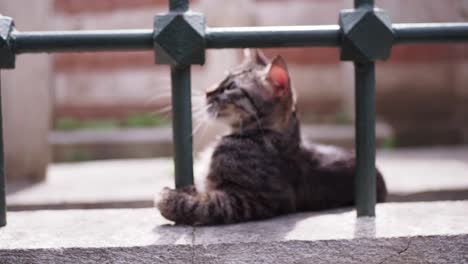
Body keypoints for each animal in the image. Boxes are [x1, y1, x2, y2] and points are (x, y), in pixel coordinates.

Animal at [155, 49, 386, 225]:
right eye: (223, 79)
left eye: (231, 88)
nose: (207, 91)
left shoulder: (259, 200)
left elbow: (206, 205)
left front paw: (170, 199)